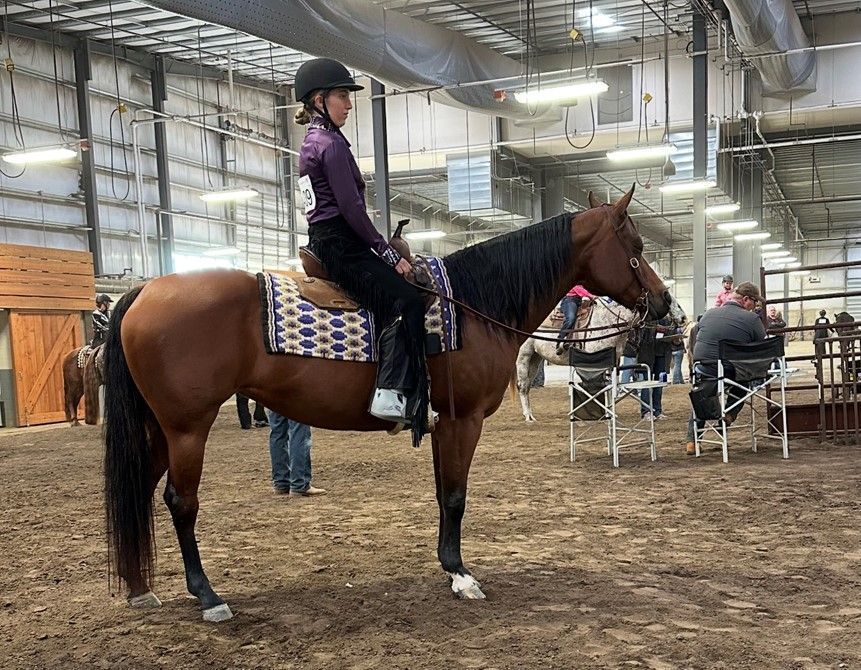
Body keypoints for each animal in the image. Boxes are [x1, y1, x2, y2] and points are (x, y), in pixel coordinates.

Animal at [103, 186, 673, 622]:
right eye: (636, 244)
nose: (665, 302)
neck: (473, 304)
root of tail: (143, 291)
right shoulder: (463, 421)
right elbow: (456, 496)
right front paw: (461, 575)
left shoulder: (444, 425)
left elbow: (443, 494)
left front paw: (449, 567)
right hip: (187, 428)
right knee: (180, 501)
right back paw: (208, 596)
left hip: (160, 430)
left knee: (141, 487)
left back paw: (139, 587)